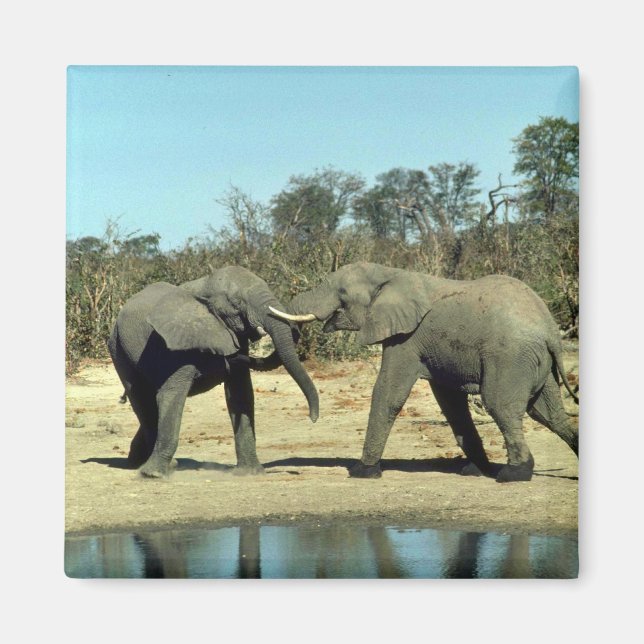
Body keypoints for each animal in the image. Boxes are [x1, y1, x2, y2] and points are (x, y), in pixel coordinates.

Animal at [107, 266, 319, 478]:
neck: (203, 285)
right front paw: (154, 475)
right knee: (142, 399)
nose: (312, 418)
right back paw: (158, 466)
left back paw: (136, 461)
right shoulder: (178, 346)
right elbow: (171, 395)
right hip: (118, 349)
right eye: (237, 303)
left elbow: (240, 395)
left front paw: (250, 473)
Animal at [270, 261, 578, 483]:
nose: (312, 419)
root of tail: (552, 331)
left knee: (501, 405)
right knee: (549, 414)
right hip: (534, 361)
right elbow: (451, 404)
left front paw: (363, 472)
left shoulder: (406, 338)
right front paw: (475, 470)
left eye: (342, 294)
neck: (390, 273)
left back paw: (514, 474)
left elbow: (388, 394)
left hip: (510, 357)